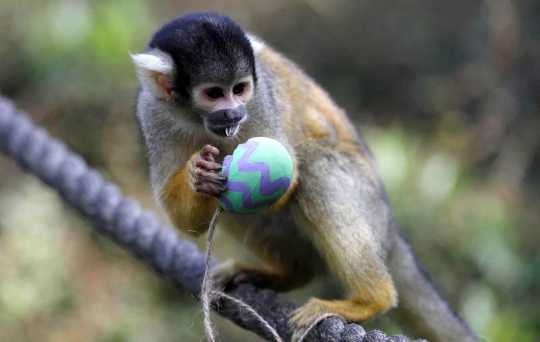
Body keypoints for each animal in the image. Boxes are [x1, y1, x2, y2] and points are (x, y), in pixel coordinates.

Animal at [133, 12, 478, 340]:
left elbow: (286, 178)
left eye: (239, 89)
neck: (198, 120)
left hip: (368, 199)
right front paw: (199, 175)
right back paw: (290, 274)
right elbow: (184, 222)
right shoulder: (153, 112)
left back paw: (369, 299)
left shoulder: (260, 101)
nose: (234, 113)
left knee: (313, 166)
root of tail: (390, 225)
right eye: (214, 94)